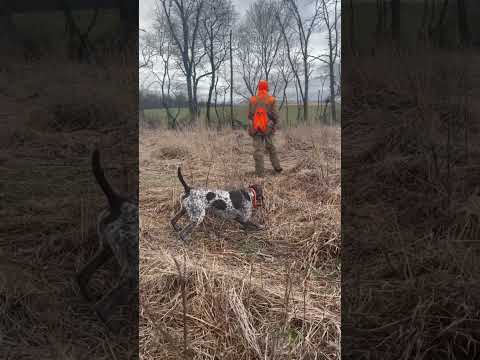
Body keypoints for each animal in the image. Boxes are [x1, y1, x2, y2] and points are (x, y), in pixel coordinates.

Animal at [76, 148, 138, 324]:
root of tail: (116, 201)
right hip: (132, 272)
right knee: (102, 308)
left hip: (106, 249)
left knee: (81, 275)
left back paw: (90, 298)